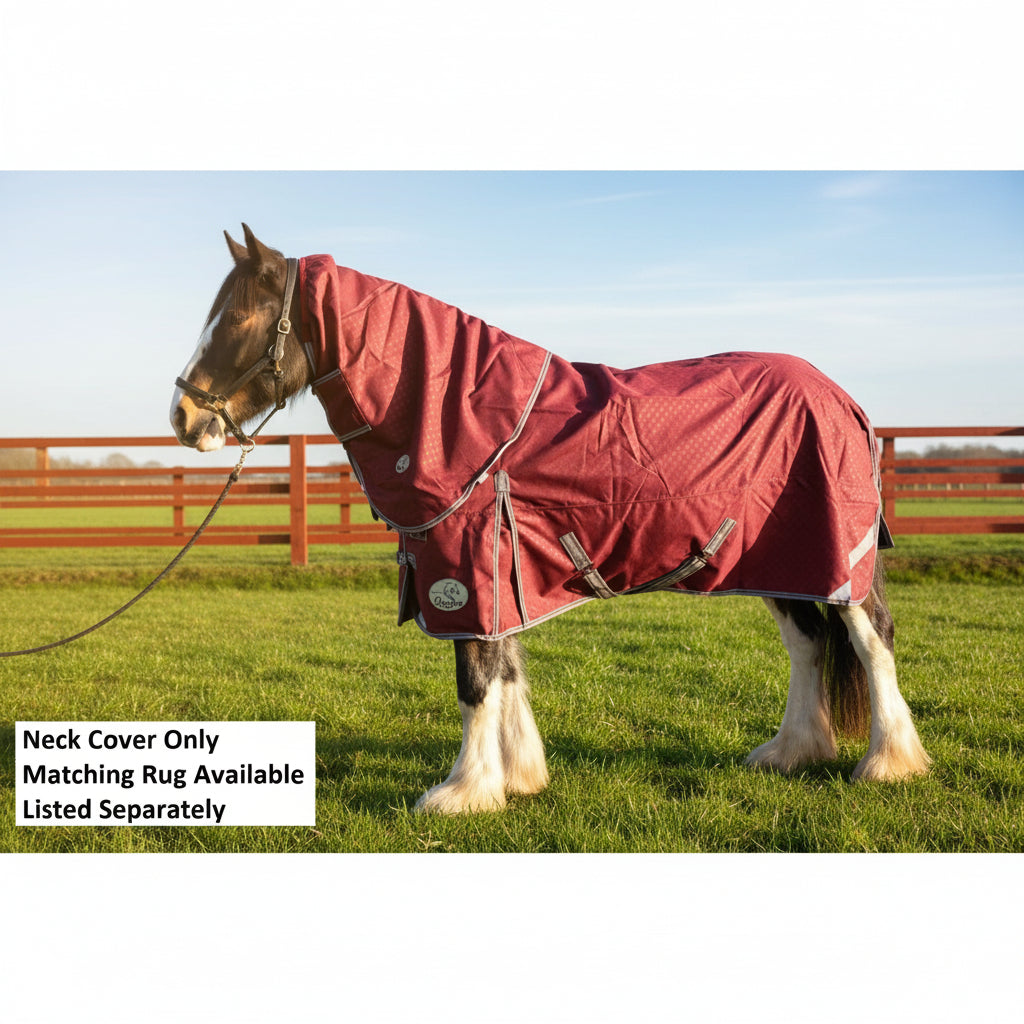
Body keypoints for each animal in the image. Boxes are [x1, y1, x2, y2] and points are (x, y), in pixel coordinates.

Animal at [171, 224, 931, 814]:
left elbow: (476, 679)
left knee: (871, 639)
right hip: (778, 561)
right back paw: (790, 752)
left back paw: (888, 763)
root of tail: (842, 397)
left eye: (236, 320)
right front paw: (517, 777)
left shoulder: (466, 565)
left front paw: (463, 792)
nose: (182, 417)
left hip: (838, 556)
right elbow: (505, 668)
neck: (465, 417)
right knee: (807, 644)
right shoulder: (496, 571)